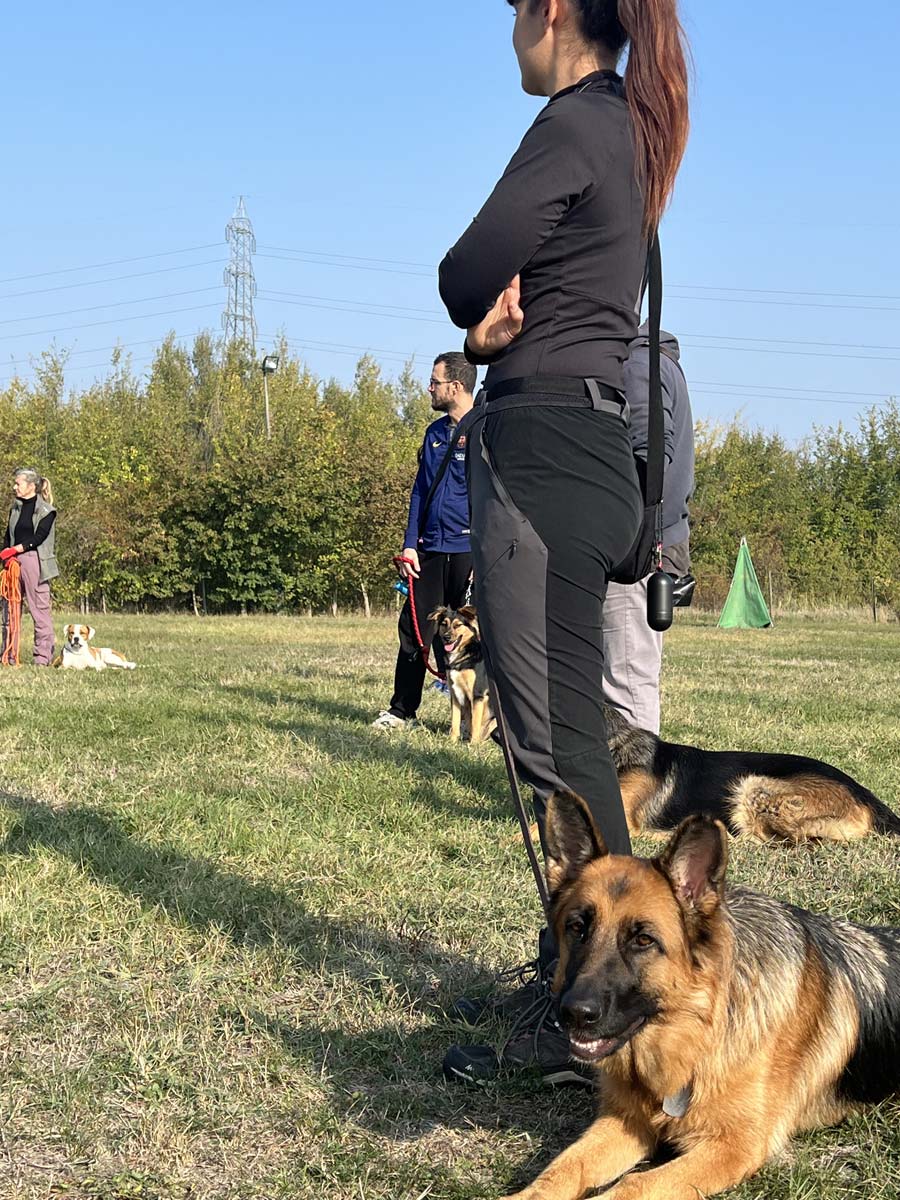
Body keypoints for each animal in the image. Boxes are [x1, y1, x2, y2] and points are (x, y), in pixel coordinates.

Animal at [428, 605, 494, 743]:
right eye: (444, 624)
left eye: (458, 625)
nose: (447, 637)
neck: (460, 655)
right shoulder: (455, 694)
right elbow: (455, 721)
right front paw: (452, 741)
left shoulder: (478, 694)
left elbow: (475, 723)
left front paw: (473, 744)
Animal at [502, 791, 900, 1200]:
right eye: (577, 928)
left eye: (643, 940)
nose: (574, 1014)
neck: (697, 1029)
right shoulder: (625, 1121)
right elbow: (564, 1168)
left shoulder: (731, 1147)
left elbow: (634, 1184)